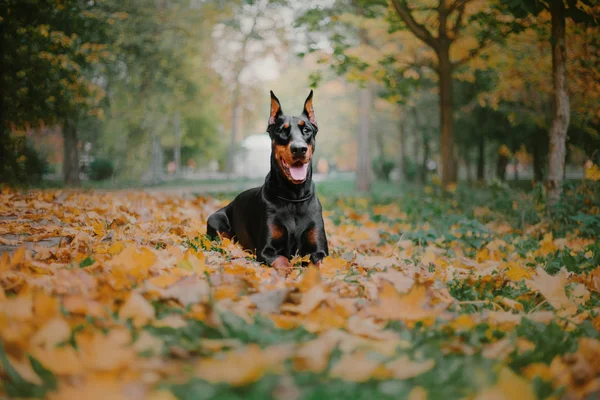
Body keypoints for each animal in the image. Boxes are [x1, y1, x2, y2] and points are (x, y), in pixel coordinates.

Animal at [206, 90, 328, 276]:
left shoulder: (320, 251)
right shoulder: (266, 250)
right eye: (281, 131)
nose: (299, 149)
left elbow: (321, 264)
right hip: (215, 219)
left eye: (307, 130)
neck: (293, 197)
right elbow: (283, 260)